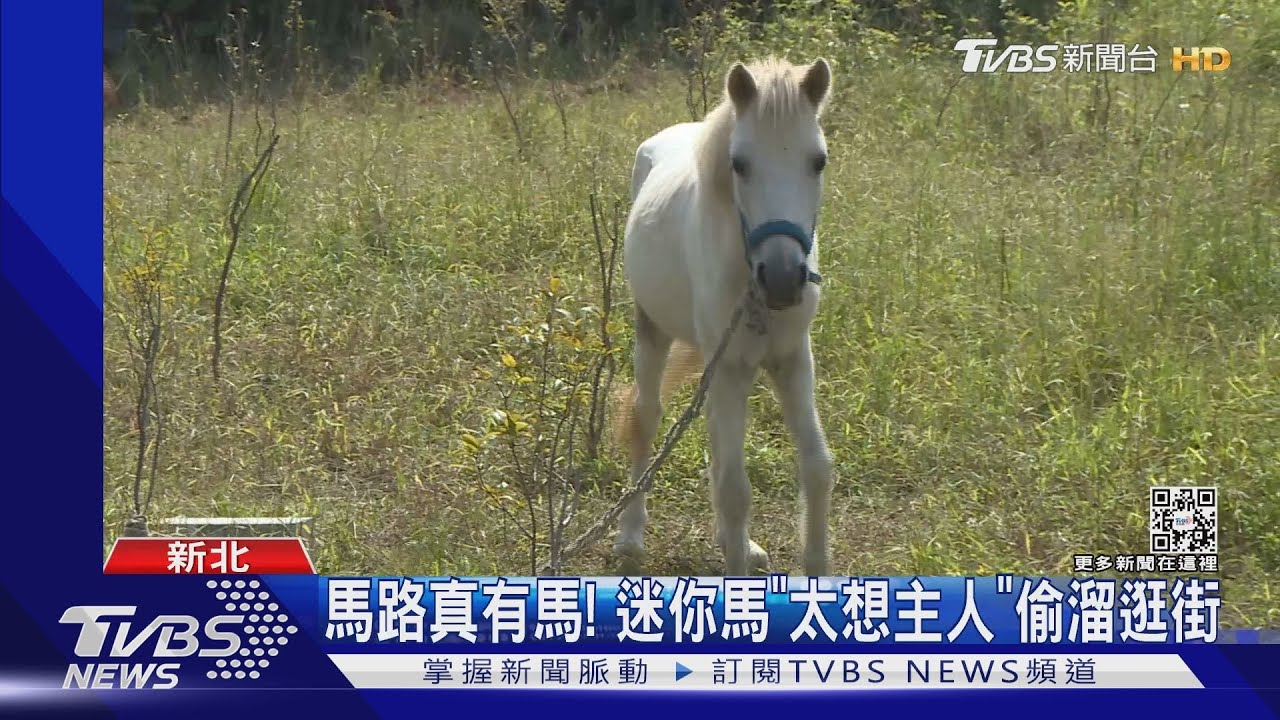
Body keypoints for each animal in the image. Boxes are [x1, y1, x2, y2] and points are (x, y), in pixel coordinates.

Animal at [611, 57, 836, 576]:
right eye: (740, 164)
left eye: (818, 161)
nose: (782, 279)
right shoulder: (730, 367)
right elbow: (736, 489)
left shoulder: (793, 361)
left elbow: (816, 466)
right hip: (653, 329)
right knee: (646, 416)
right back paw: (630, 533)